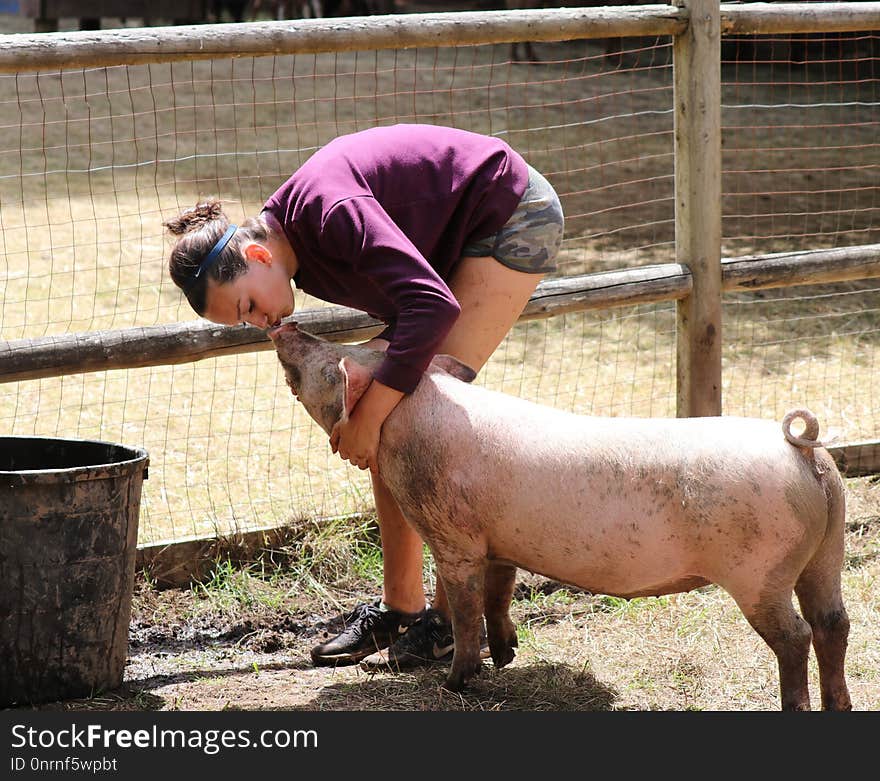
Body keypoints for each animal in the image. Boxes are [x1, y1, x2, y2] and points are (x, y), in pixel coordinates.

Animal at [268, 320, 852, 708]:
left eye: (330, 361)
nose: (287, 324)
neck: (402, 419)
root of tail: (801, 449)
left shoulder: (454, 536)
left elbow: (466, 606)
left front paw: (455, 682)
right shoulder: (499, 539)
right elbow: (500, 592)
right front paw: (507, 654)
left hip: (761, 572)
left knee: (797, 636)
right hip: (826, 554)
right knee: (834, 625)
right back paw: (839, 705)